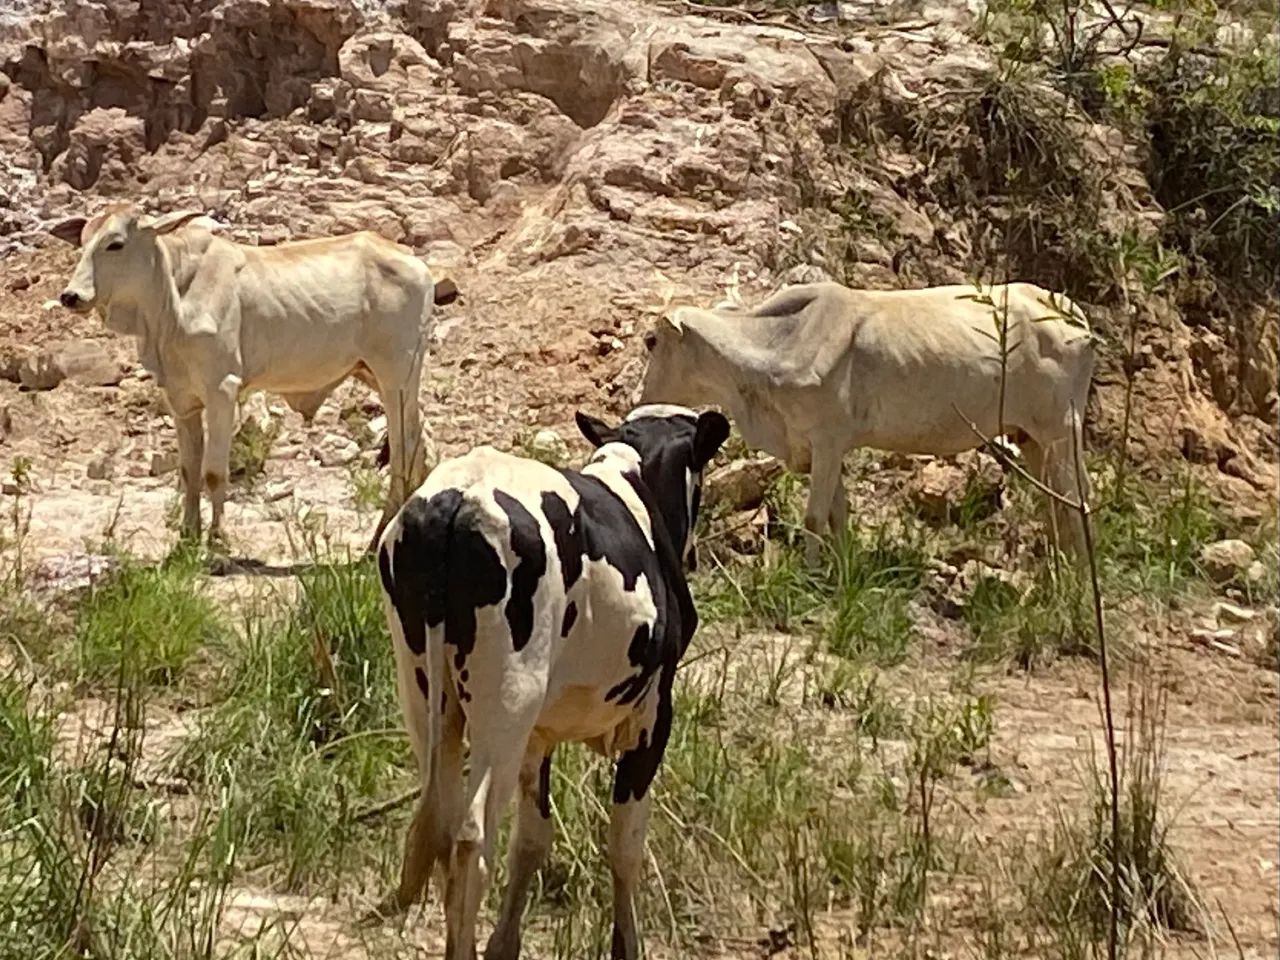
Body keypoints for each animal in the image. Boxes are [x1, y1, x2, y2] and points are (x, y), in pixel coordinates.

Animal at [51, 204, 449, 552]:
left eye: (115, 243)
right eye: (82, 241)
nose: (70, 296)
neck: (172, 298)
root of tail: (415, 262)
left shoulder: (222, 390)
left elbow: (213, 472)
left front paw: (217, 542)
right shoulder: (182, 401)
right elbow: (188, 471)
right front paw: (186, 539)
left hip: (397, 376)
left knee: (404, 457)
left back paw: (374, 543)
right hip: (382, 379)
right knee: (421, 448)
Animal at [376, 404, 729, 960]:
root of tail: (459, 497)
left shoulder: (540, 736)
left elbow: (533, 839)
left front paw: (504, 944)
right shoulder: (654, 716)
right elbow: (625, 844)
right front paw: (626, 945)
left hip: (427, 697)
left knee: (445, 826)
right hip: (506, 706)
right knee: (471, 839)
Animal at [638, 281, 1096, 563]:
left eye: (651, 340)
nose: (640, 399)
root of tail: (1073, 314)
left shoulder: (826, 439)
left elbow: (814, 517)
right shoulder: (826, 448)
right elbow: (837, 516)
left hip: (1061, 433)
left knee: (1076, 506)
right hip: (1033, 439)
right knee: (1055, 509)